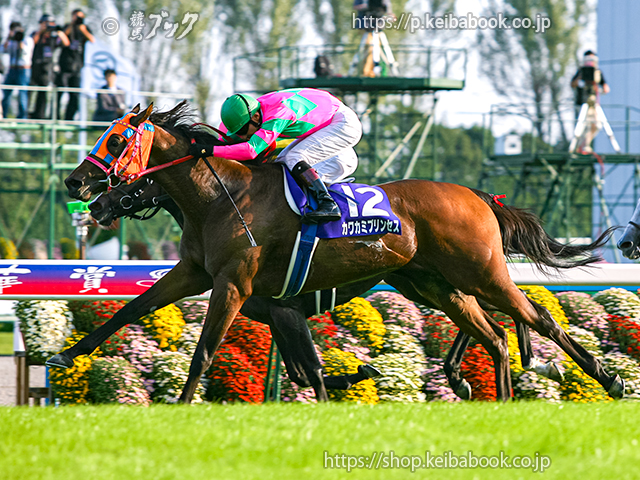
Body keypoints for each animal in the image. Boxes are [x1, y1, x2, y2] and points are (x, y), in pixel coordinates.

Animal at [88, 174, 566, 400]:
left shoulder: (281, 309)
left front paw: (358, 374)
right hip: (428, 281)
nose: (98, 202)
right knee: (492, 322)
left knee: (515, 314)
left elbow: (308, 370)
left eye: (140, 176)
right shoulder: (278, 312)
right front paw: (360, 373)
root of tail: (476, 195)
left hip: (465, 272)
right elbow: (302, 370)